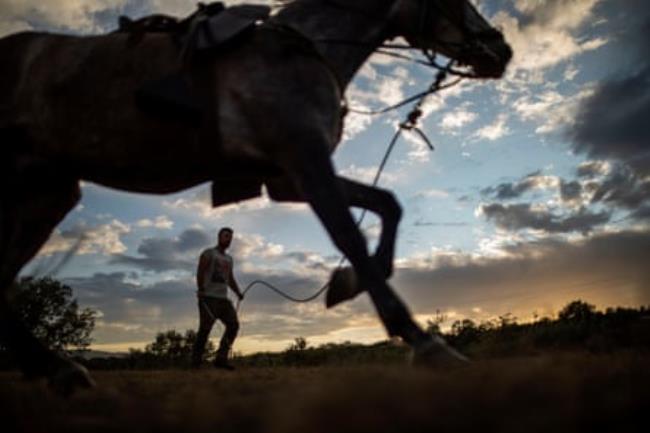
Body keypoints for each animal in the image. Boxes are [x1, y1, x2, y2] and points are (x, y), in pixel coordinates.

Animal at [0, 0, 511, 394]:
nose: (501, 50)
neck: (307, 47)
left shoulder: (289, 179)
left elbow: (388, 205)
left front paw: (345, 285)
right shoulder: (304, 160)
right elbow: (351, 236)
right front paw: (425, 343)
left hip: (50, 192)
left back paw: (56, 368)